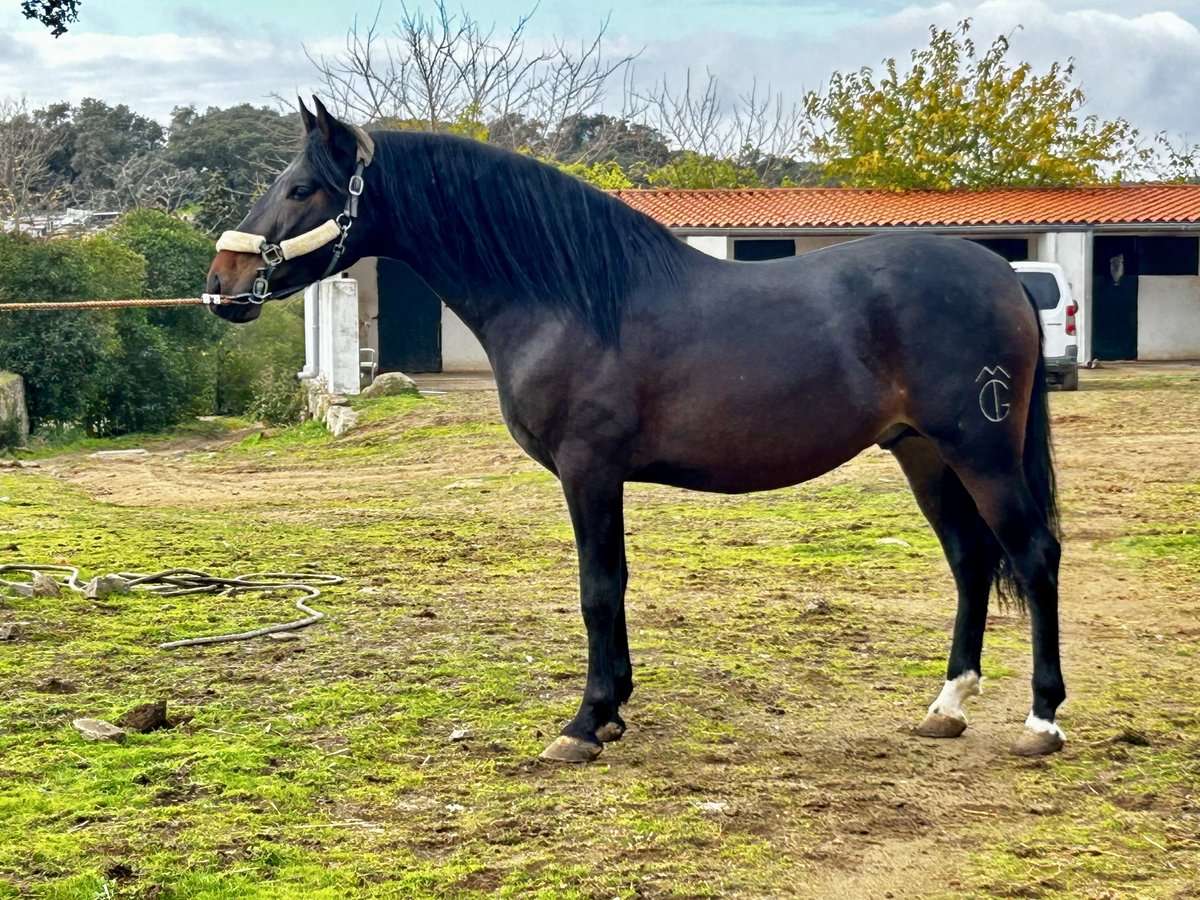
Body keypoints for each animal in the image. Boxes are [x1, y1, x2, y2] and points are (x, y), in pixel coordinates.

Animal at [208, 97, 1070, 763]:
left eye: (301, 188)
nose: (222, 284)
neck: (572, 299)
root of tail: (1004, 274)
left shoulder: (588, 467)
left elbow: (598, 588)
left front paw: (586, 723)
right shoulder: (600, 474)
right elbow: (613, 587)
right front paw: (614, 708)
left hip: (980, 451)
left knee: (1032, 556)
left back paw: (1041, 720)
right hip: (922, 453)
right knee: (970, 561)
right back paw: (947, 706)